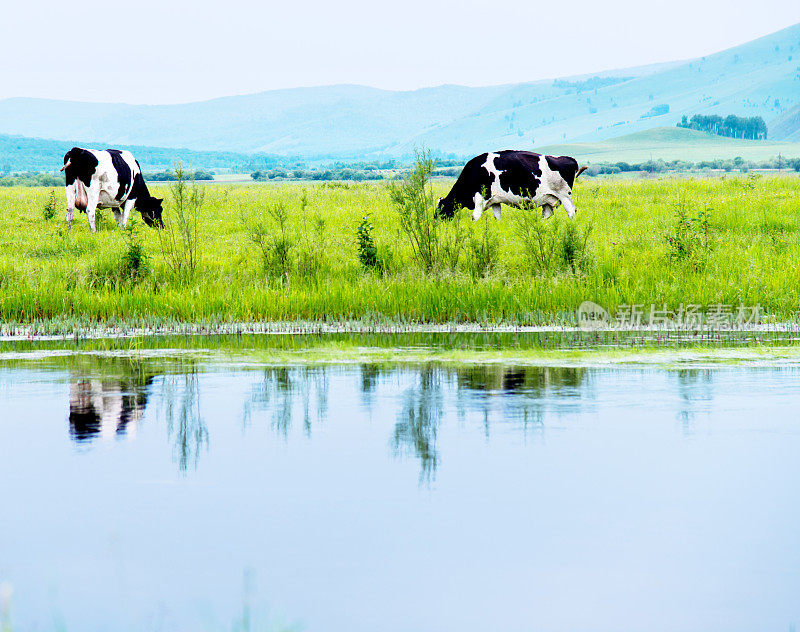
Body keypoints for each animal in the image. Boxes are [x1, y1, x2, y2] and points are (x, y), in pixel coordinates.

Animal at [438, 151, 588, 222]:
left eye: (440, 208)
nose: (436, 220)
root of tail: (568, 159)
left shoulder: (480, 197)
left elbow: (475, 216)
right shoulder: (495, 201)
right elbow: (497, 217)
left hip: (565, 195)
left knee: (571, 212)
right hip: (547, 198)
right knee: (547, 214)